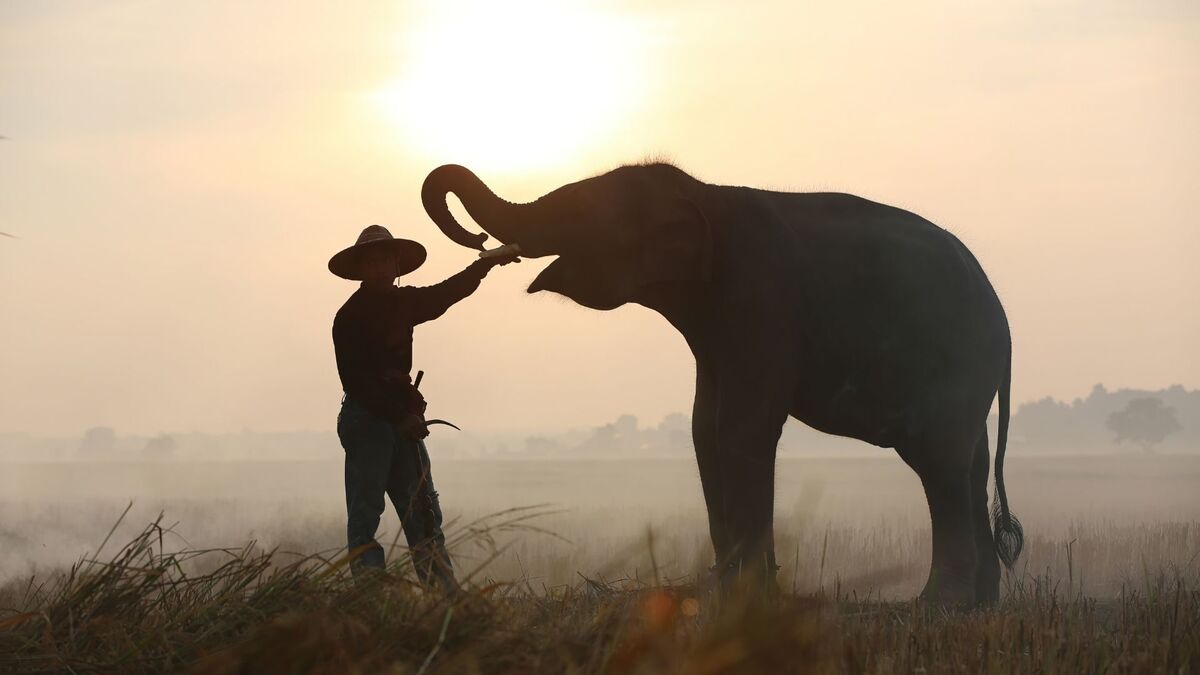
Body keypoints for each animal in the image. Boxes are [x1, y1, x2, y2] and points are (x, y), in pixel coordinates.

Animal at [422, 159, 1022, 600]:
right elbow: (703, 430)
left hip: (955, 362)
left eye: (582, 214)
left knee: (940, 463)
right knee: (968, 465)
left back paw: (935, 608)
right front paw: (727, 590)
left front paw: (747, 596)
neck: (700, 192)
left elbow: (740, 428)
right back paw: (979, 607)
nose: (485, 247)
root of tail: (1002, 318)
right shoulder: (714, 332)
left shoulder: (760, 301)